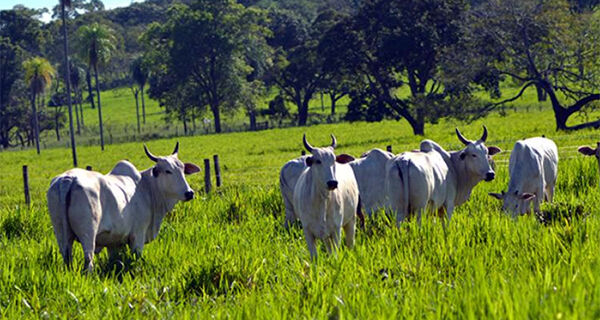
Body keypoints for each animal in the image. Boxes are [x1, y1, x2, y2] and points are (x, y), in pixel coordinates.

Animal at [47, 144, 200, 272]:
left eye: (183, 169)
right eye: (168, 171)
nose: (189, 193)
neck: (147, 187)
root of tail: (68, 179)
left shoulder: (113, 242)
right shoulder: (138, 235)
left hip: (61, 234)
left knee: (67, 257)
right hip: (88, 234)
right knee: (88, 260)